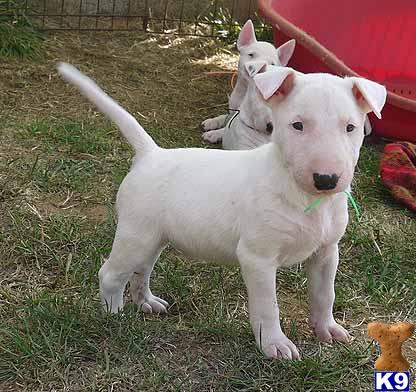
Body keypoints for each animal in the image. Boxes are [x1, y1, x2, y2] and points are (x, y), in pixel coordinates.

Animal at [58, 62, 386, 360]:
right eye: (298, 125)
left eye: (350, 128)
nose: (326, 180)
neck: (304, 196)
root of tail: (151, 154)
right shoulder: (257, 258)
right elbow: (268, 306)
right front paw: (275, 345)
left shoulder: (327, 252)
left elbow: (324, 294)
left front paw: (327, 329)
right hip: (135, 235)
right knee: (110, 273)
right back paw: (113, 314)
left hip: (154, 237)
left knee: (142, 269)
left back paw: (146, 302)